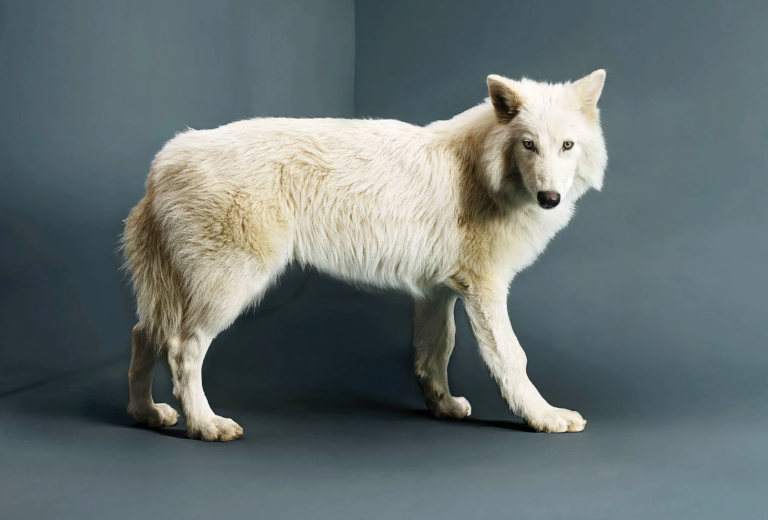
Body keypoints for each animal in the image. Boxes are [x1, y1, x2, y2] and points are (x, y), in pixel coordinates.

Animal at [122, 70, 608, 441]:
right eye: (528, 144)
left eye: (566, 146)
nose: (549, 198)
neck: (482, 172)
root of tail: (163, 161)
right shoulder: (484, 290)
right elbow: (512, 358)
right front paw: (545, 417)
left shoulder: (437, 294)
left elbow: (435, 354)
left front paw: (444, 407)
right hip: (229, 289)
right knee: (181, 348)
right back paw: (205, 425)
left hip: (175, 293)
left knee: (143, 334)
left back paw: (146, 414)